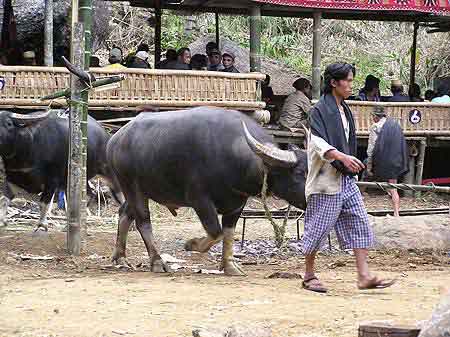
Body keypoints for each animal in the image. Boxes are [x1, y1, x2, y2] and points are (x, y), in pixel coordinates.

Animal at [107, 107, 308, 276]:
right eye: (299, 173)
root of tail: (115, 140)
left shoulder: (237, 204)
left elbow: (228, 234)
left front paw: (229, 266)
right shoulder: (199, 200)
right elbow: (216, 232)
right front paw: (191, 244)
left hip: (139, 190)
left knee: (125, 213)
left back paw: (121, 258)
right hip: (131, 186)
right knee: (143, 221)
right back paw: (157, 262)